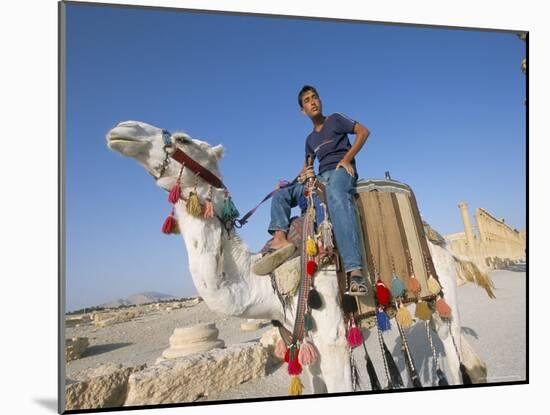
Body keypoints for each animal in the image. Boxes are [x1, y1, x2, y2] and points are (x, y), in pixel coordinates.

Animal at [105, 121, 490, 396]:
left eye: (183, 139)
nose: (122, 130)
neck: (265, 284)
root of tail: (440, 240)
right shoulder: (305, 344)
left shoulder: (333, 341)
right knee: (468, 361)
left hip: (441, 292)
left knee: (454, 354)